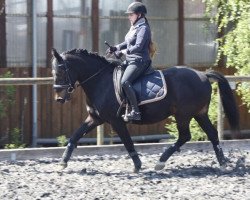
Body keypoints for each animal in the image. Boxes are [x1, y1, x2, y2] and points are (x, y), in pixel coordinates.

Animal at [51, 48, 240, 172]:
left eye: (61, 72)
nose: (59, 98)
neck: (100, 81)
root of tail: (203, 75)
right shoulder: (95, 118)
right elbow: (75, 136)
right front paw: (63, 162)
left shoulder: (116, 120)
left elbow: (127, 142)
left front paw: (137, 165)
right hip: (199, 113)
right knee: (212, 134)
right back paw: (223, 163)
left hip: (183, 115)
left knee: (185, 136)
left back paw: (161, 161)